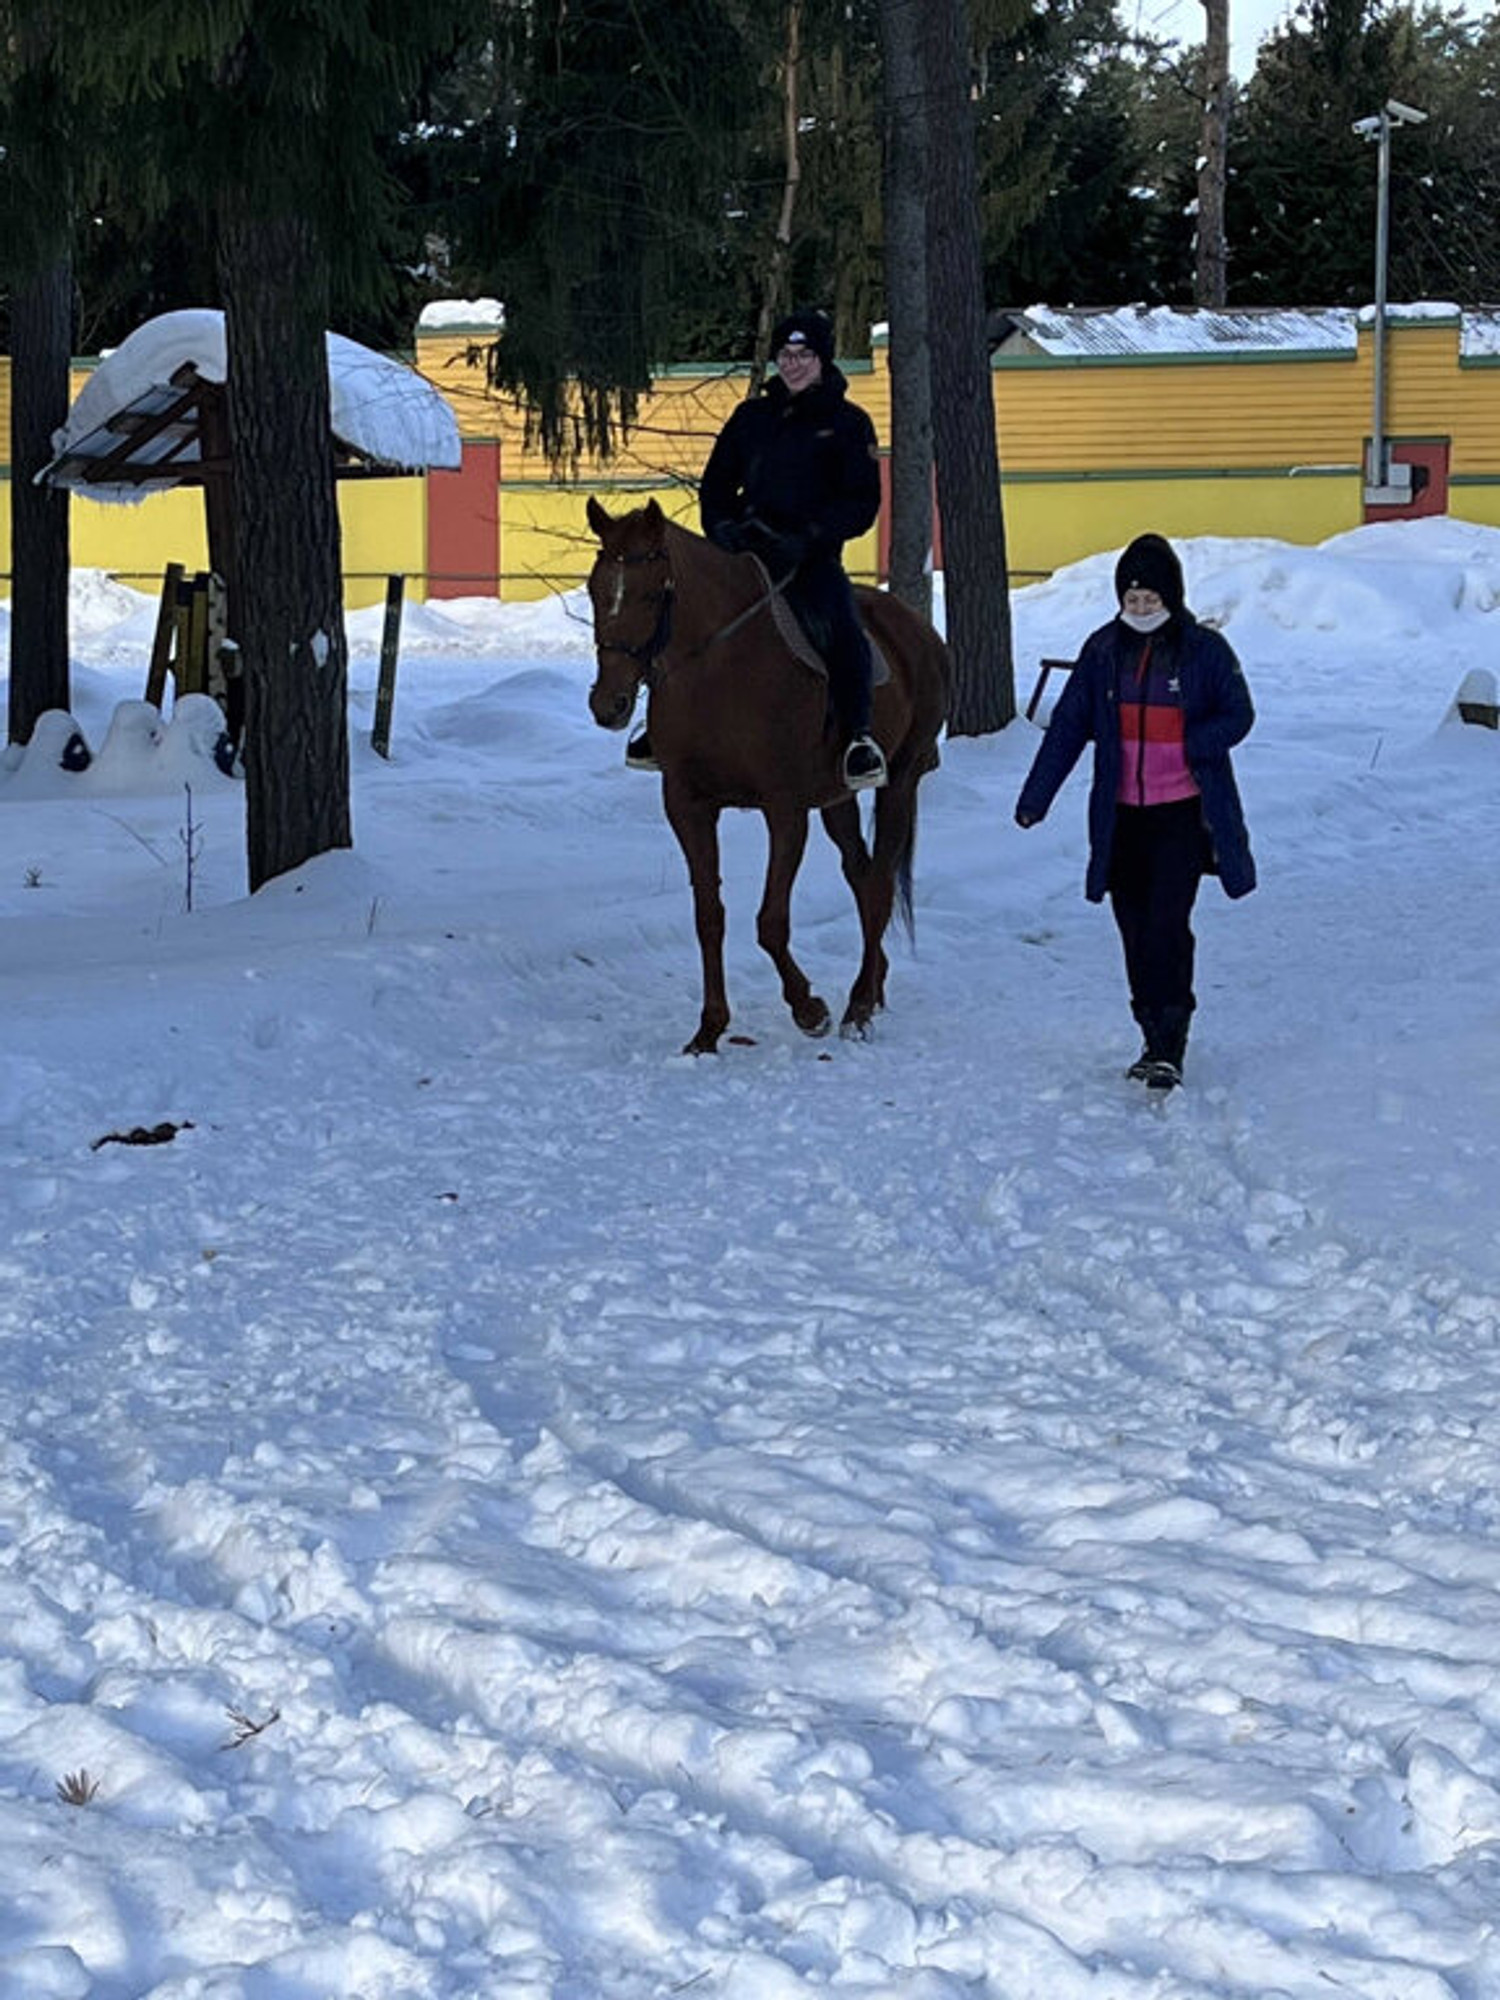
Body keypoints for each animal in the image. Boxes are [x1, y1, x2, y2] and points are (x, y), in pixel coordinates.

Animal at [588, 500, 952, 1056]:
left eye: (651, 593)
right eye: (594, 588)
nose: (608, 704)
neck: (718, 670)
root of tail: (918, 630)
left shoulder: (784, 808)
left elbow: (770, 922)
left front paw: (809, 1009)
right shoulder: (688, 805)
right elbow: (709, 916)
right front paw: (709, 1029)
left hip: (900, 781)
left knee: (879, 884)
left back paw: (858, 1008)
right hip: (837, 798)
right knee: (861, 874)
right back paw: (873, 987)